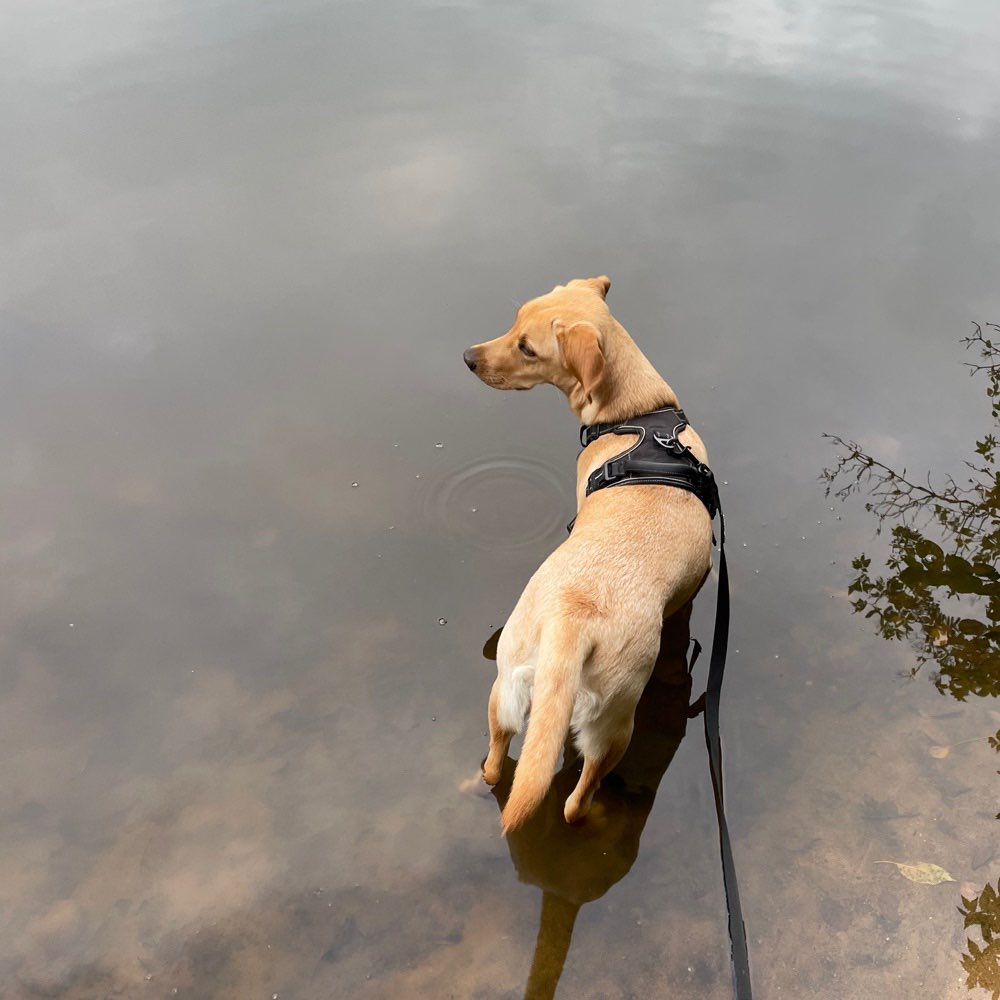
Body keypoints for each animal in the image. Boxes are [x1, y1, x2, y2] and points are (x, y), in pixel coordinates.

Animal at [460, 278, 712, 832]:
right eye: (515, 321)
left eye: (527, 347)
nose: (468, 358)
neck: (637, 416)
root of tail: (569, 622)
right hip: (613, 724)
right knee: (575, 802)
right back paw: (599, 813)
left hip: (506, 688)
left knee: (497, 766)